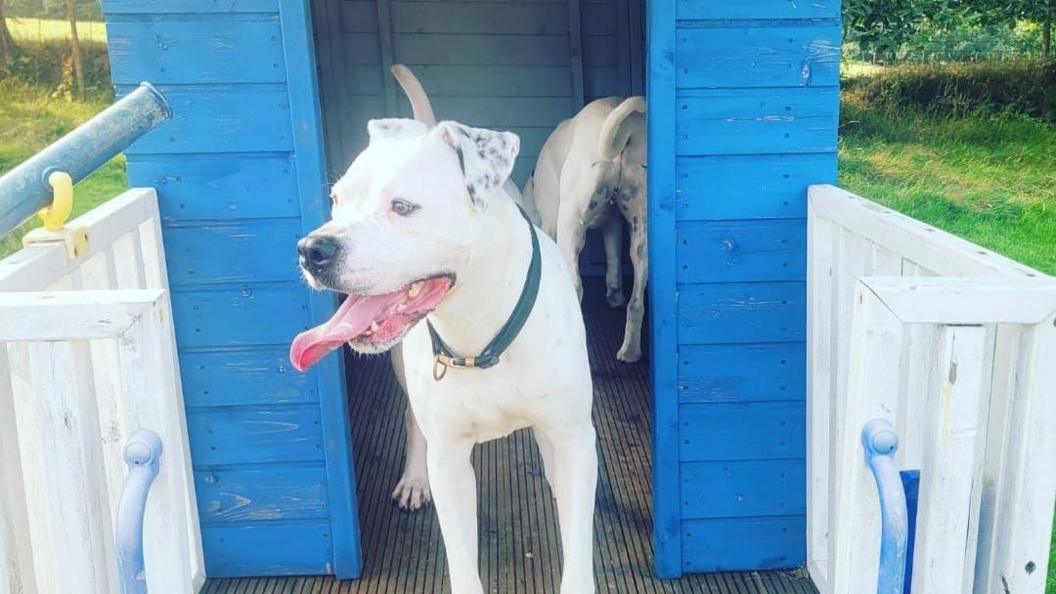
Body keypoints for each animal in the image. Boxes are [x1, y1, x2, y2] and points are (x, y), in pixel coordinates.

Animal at [293, 109, 599, 587]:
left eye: (402, 206)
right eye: (337, 199)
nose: (312, 249)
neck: (481, 329)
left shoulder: (574, 438)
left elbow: (578, 553)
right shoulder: (450, 460)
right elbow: (462, 562)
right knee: (412, 419)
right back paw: (414, 478)